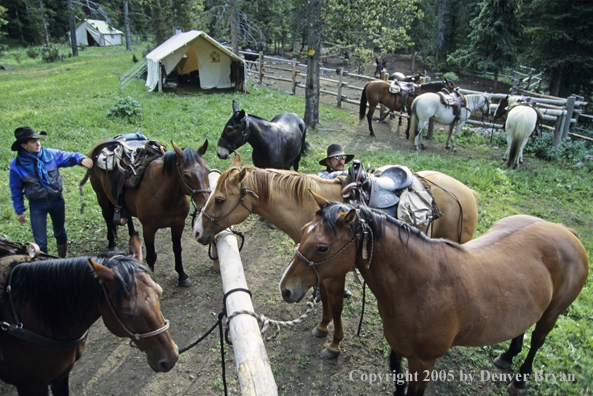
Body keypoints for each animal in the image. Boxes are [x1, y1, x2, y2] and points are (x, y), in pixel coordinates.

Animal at [81, 138, 210, 284]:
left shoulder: (178, 224)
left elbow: (177, 249)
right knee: (107, 217)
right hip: (101, 196)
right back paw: (112, 243)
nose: (204, 204)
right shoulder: (148, 229)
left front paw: (182, 275)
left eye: (207, 170)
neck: (164, 195)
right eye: (186, 175)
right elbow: (151, 256)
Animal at [193, 155, 476, 358]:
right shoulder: (319, 271)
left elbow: (337, 304)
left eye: (219, 199)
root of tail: (467, 192)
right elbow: (326, 300)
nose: (197, 231)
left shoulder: (335, 272)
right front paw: (322, 327)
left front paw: (334, 344)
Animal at [282, 196, 588, 396]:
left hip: (551, 314)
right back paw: (507, 356)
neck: (420, 285)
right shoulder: (398, 348)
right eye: (303, 231)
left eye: (322, 247)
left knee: (537, 341)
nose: (286, 288)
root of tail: (566, 231)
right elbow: (398, 381)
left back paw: (521, 378)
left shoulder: (424, 363)